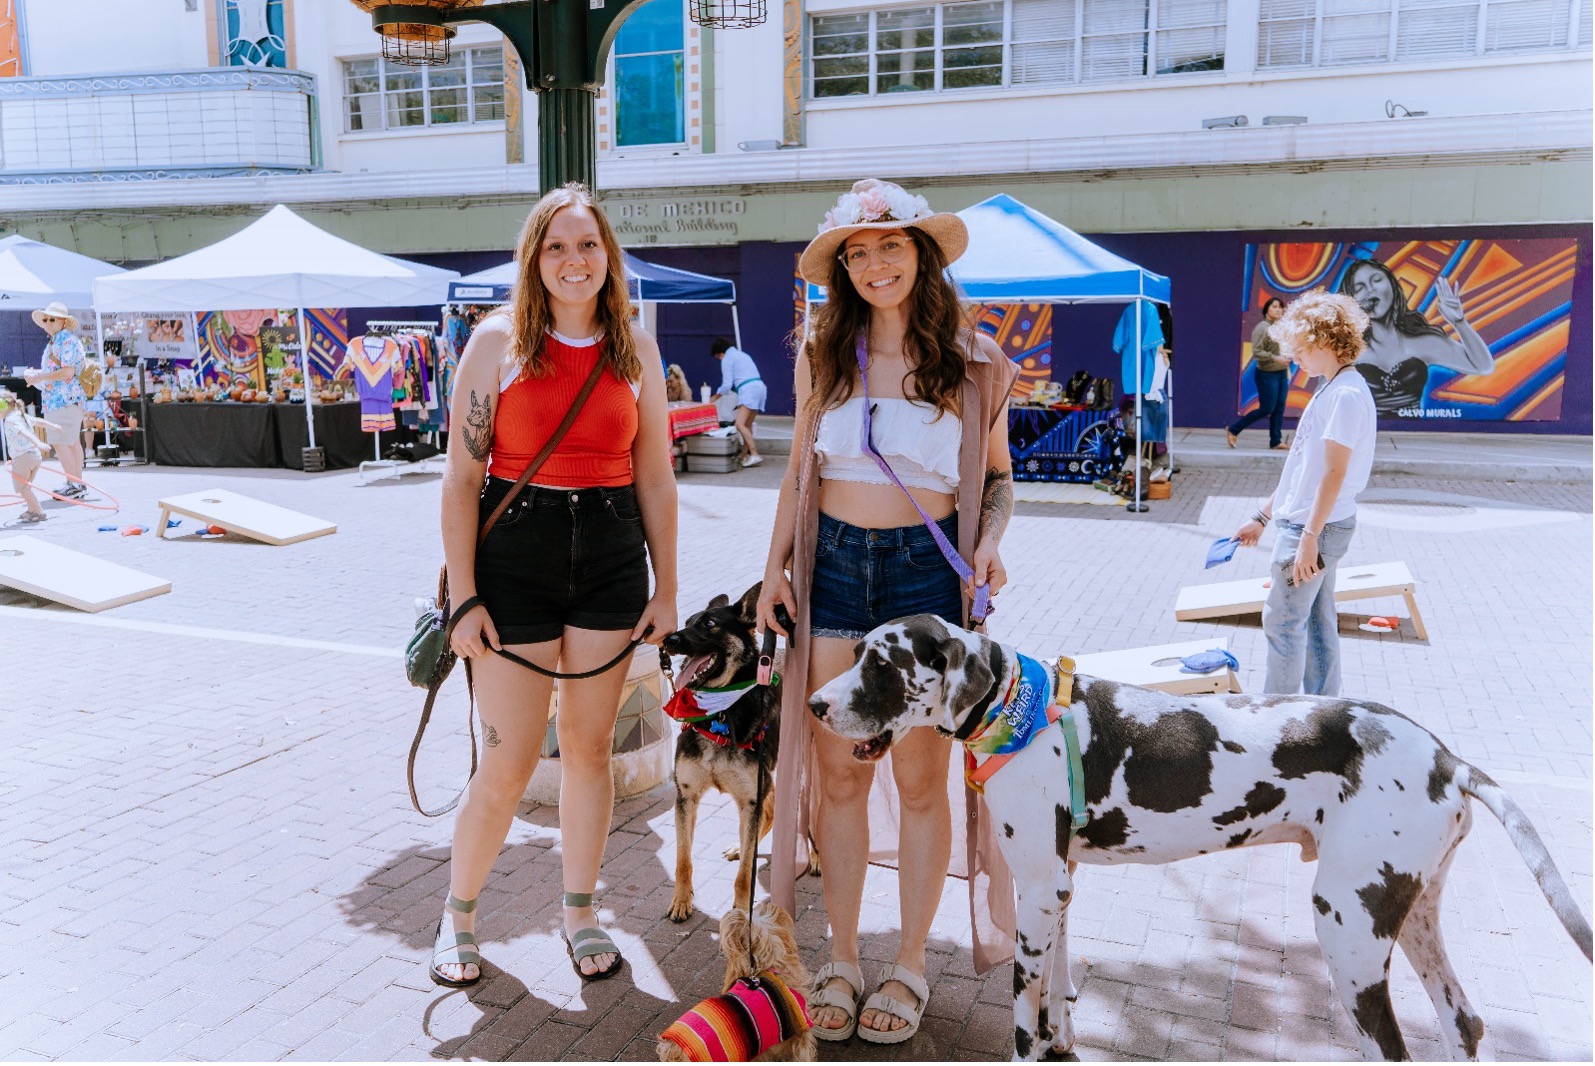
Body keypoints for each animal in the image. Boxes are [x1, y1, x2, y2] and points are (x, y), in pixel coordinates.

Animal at [660, 584, 784, 925]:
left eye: (710, 624)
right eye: (687, 621)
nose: (668, 640)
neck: (721, 712)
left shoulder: (751, 798)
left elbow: (744, 876)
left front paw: (742, 915)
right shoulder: (686, 796)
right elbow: (683, 859)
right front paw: (680, 901)